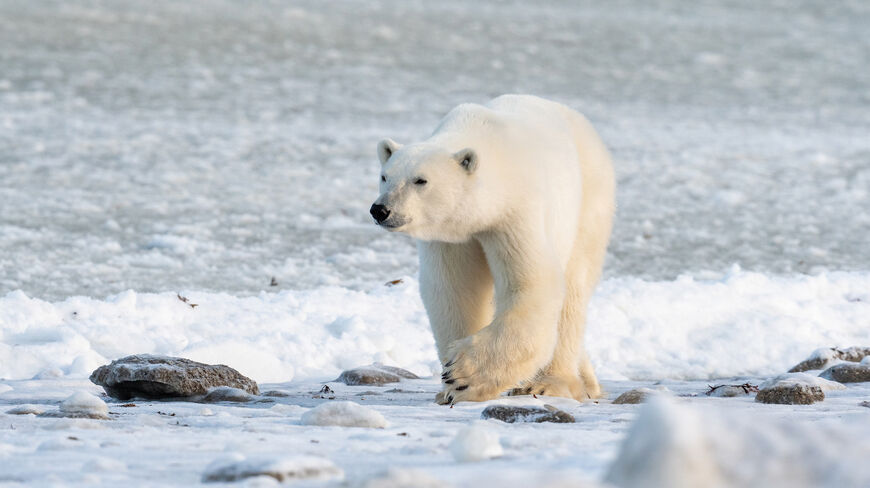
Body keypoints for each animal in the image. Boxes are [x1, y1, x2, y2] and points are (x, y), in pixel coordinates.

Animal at [370, 94, 614, 404]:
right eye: (384, 176)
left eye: (420, 180)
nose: (381, 209)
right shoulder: (451, 236)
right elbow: (455, 291)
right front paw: (448, 388)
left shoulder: (516, 213)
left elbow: (533, 284)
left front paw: (463, 375)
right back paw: (588, 380)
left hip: (589, 199)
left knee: (573, 289)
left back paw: (550, 382)